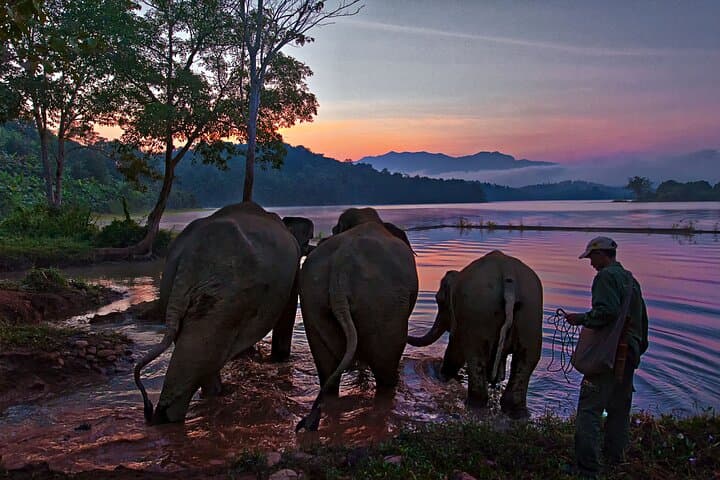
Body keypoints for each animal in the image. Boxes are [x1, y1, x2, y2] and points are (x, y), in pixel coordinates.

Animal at [134, 201, 314, 424]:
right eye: (308, 239)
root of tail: (189, 256)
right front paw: (279, 359)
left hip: (177, 289)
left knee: (199, 349)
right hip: (225, 292)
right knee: (201, 348)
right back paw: (172, 417)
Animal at [408, 250, 543, 418]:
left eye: (439, 300)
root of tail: (508, 275)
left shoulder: (462, 318)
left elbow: (456, 349)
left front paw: (443, 374)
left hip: (480, 311)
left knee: (474, 355)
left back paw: (474, 404)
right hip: (530, 312)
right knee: (527, 358)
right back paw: (517, 413)